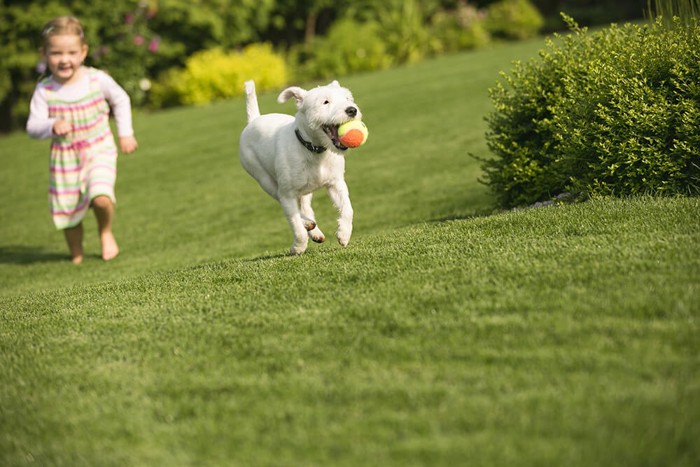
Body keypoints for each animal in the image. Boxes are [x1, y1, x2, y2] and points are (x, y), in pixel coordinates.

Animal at [239, 80, 364, 256]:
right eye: (325, 102)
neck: (314, 149)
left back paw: (315, 230)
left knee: (305, 206)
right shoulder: (287, 194)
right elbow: (295, 224)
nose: (352, 110)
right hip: (264, 180)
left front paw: (344, 234)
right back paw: (307, 224)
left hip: (305, 188)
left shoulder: (336, 183)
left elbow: (347, 209)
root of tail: (253, 120)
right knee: (286, 203)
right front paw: (298, 247)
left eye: (348, 98)